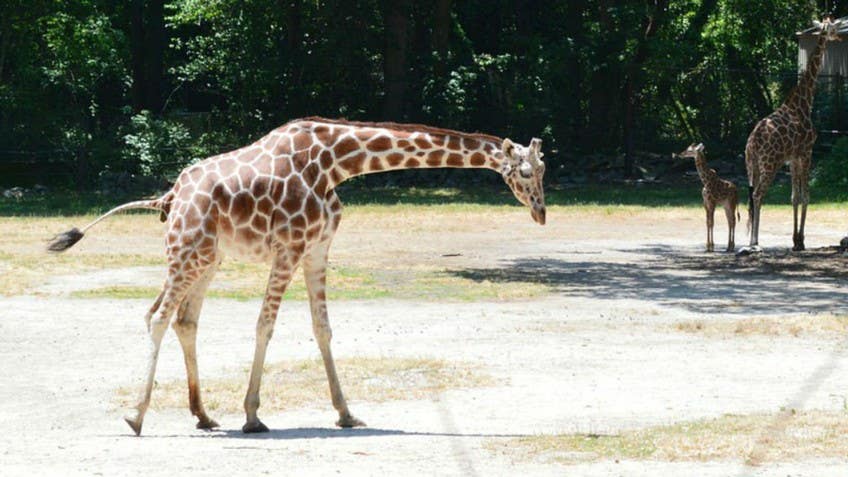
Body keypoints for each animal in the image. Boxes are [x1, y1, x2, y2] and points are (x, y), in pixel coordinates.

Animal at [46, 116, 548, 436]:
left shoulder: (318, 249)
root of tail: (169, 196)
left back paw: (204, 416)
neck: (337, 164)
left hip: (208, 258)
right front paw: (252, 416)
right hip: (186, 251)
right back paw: (136, 416)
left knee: (183, 320)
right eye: (524, 171)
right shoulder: (288, 248)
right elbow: (265, 326)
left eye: (543, 169)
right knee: (156, 316)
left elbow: (322, 328)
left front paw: (346, 413)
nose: (542, 213)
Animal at [744, 17, 844, 253]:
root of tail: (753, 143)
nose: (840, 37)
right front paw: (801, 240)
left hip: (751, 165)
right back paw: (754, 242)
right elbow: (805, 196)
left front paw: (796, 240)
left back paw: (748, 240)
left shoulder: (793, 158)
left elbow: (794, 197)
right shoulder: (807, 152)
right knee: (758, 194)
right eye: (834, 27)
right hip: (769, 164)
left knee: (751, 197)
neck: (803, 102)